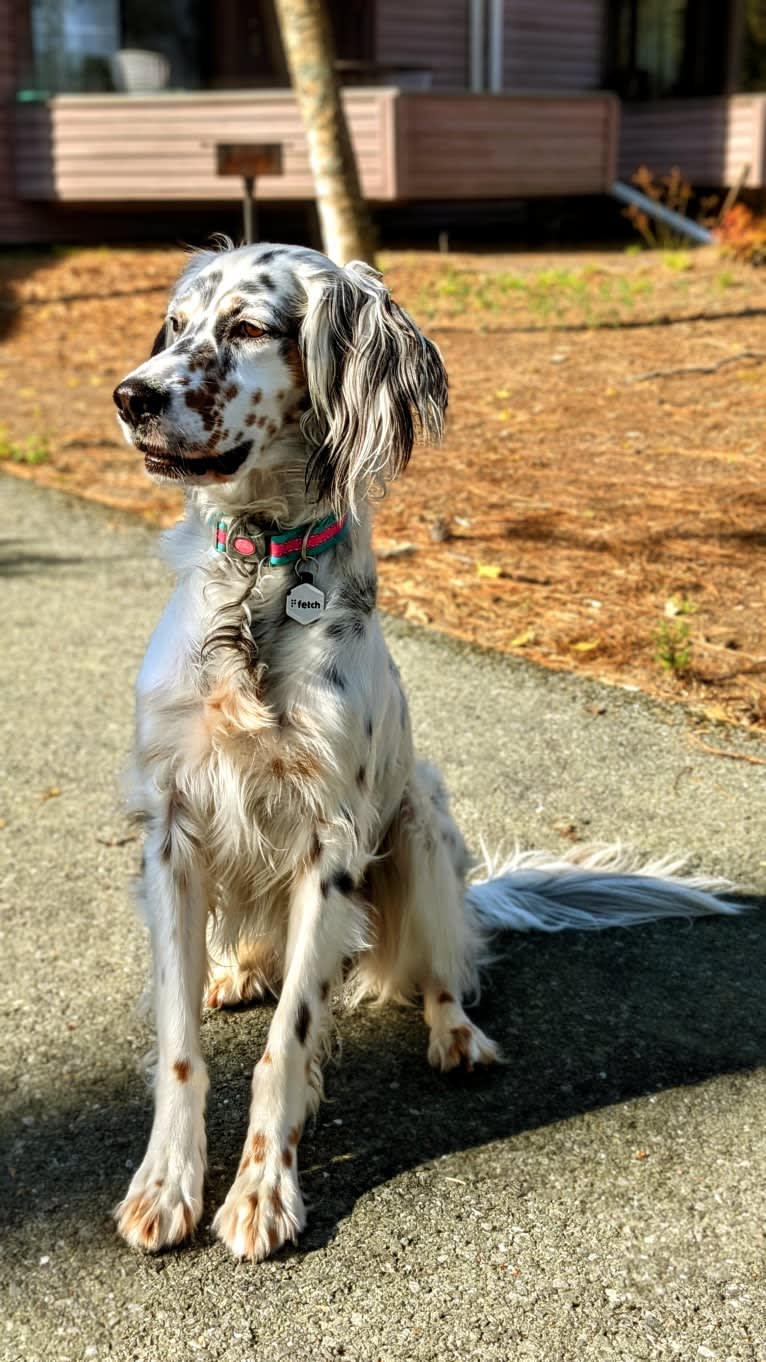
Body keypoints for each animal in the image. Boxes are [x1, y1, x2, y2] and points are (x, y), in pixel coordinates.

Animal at [110, 239, 736, 1258]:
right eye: (175, 327)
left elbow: (286, 1046)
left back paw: (456, 1036)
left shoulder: (331, 843)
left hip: (421, 825)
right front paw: (167, 1183)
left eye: (247, 327)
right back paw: (237, 971)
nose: (130, 395)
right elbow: (179, 1052)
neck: (261, 581)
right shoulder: (173, 828)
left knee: (442, 972)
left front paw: (262, 1191)